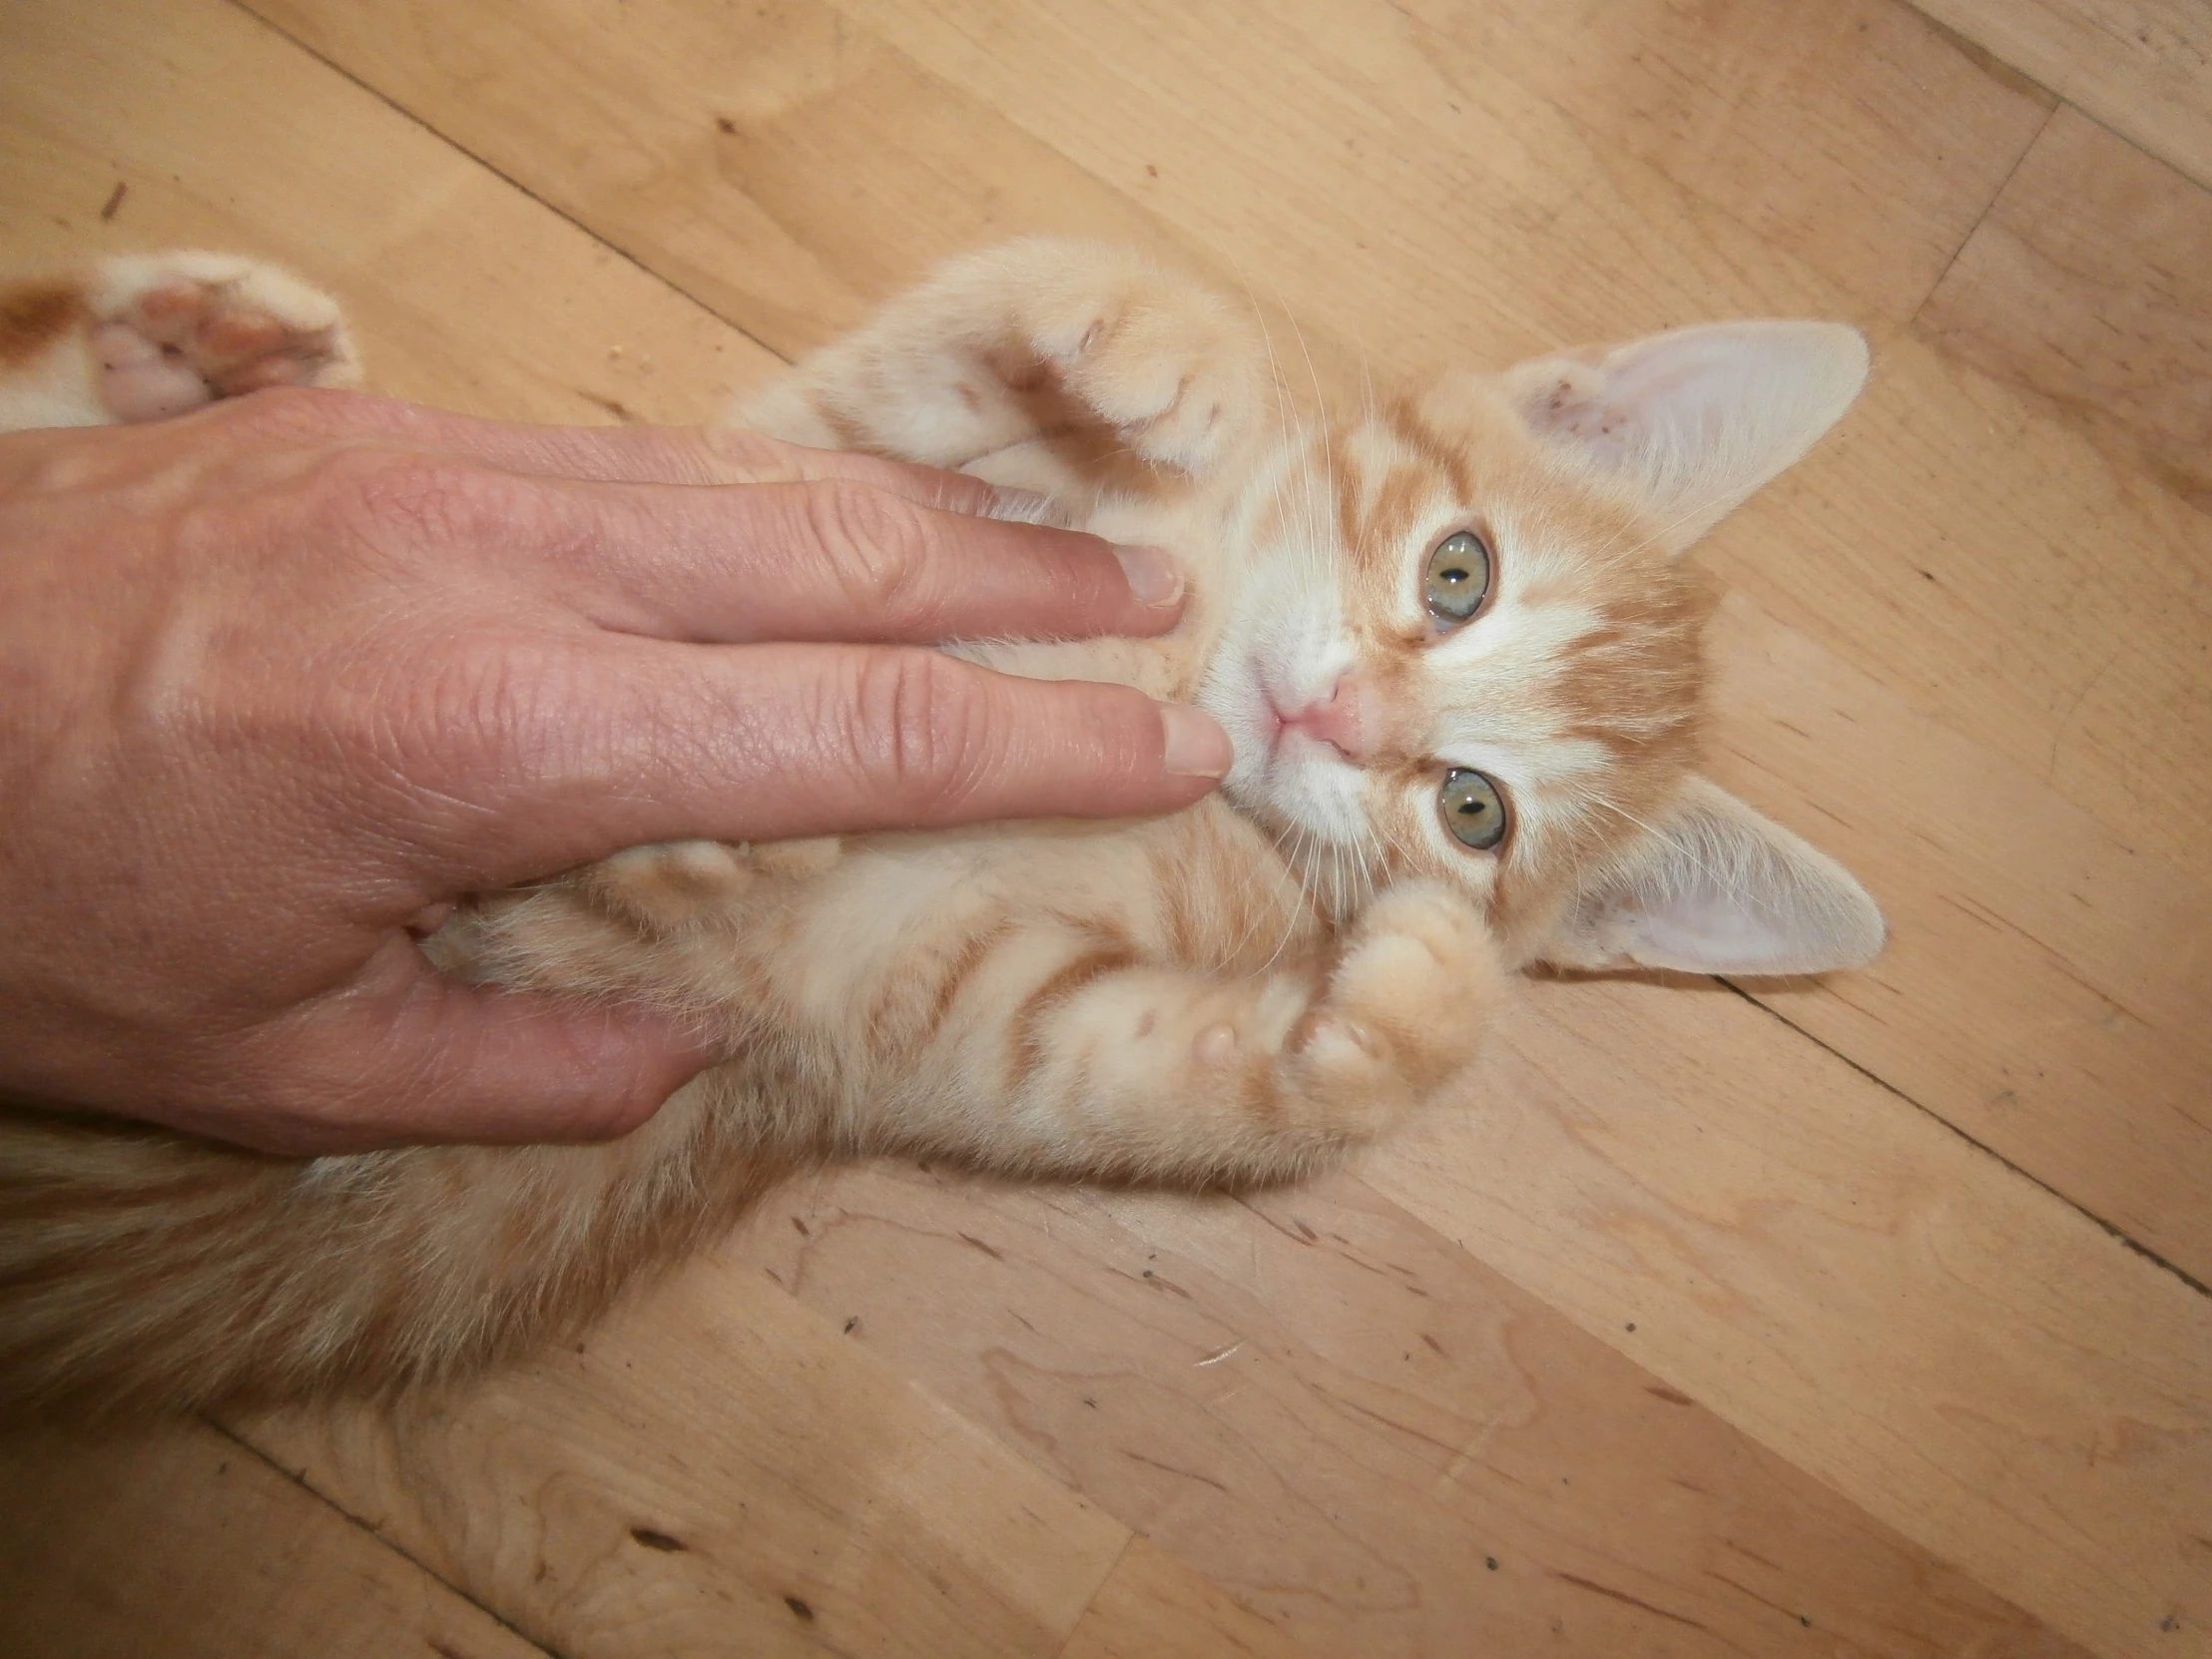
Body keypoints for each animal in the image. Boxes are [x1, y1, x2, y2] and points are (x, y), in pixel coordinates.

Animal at [0, 243, 1885, 1415]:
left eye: (1473, 811)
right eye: (1459, 570)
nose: (1337, 720)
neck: (1180, 658)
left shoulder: (908, 1014)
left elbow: (1154, 1080)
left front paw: (1417, 995)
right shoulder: (799, 463)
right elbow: (948, 347)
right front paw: (1157, 334)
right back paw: (184, 345)